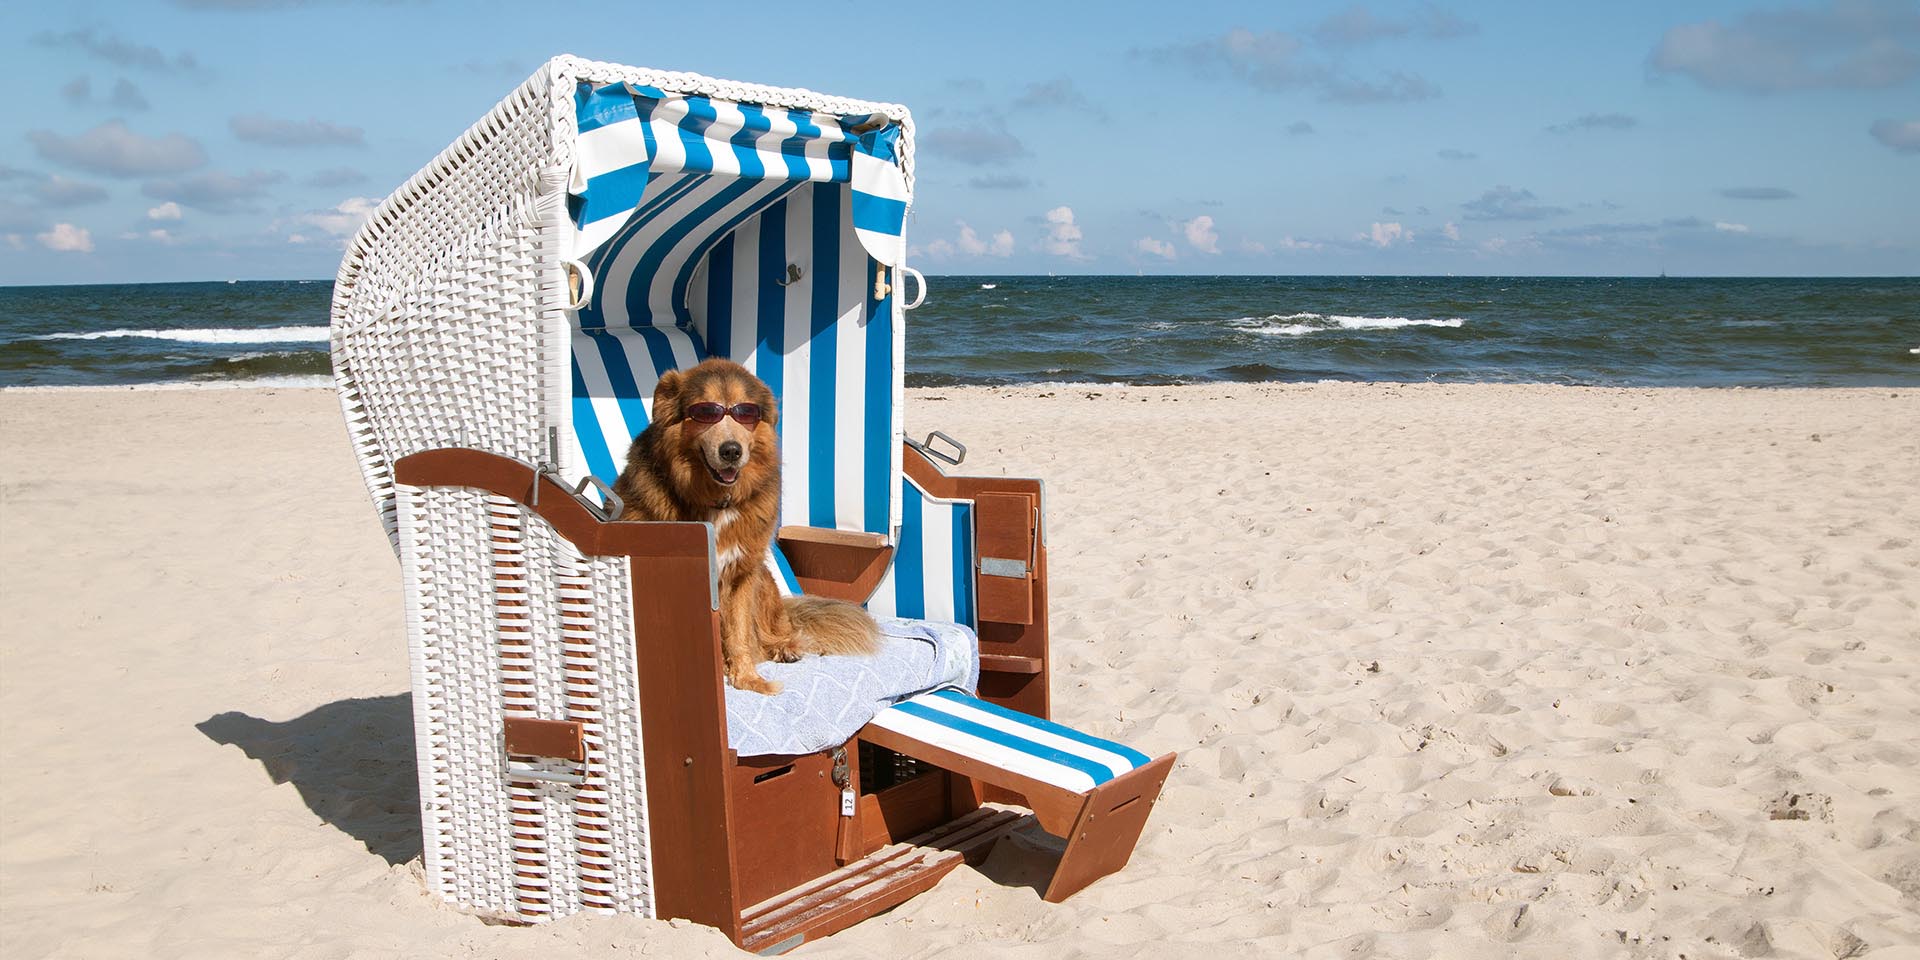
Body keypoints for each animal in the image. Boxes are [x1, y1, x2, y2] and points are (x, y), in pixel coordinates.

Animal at [610, 357, 879, 695]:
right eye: (705, 411)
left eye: (746, 412)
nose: (731, 451)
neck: (716, 501)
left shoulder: (742, 574)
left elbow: (738, 632)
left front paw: (748, 678)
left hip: (764, 580)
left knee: (778, 630)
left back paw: (784, 647)